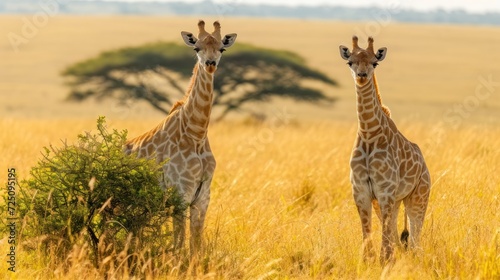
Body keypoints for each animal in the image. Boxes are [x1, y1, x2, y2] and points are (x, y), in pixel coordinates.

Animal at [124, 19, 235, 256]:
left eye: (221, 48)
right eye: (196, 48)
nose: (210, 63)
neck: (196, 133)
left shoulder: (203, 198)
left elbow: (196, 245)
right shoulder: (180, 194)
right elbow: (179, 244)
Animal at [340, 36, 430, 264]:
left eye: (375, 63)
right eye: (350, 62)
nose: (362, 76)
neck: (369, 133)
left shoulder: (385, 190)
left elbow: (385, 232)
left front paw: (384, 261)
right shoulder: (361, 190)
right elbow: (368, 229)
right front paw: (368, 261)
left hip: (418, 197)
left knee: (415, 239)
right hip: (395, 201)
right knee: (398, 234)